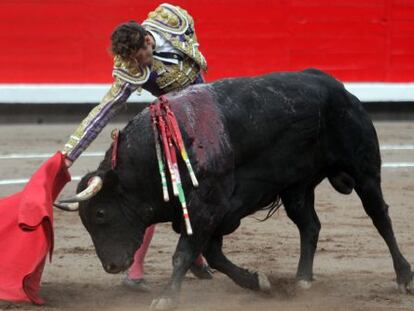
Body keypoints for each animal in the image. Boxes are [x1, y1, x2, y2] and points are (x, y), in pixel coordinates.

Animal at [55, 69, 414, 310]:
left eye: (101, 214)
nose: (111, 266)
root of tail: (339, 88)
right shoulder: (211, 214)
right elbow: (214, 256)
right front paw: (259, 283)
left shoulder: (207, 207)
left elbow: (184, 254)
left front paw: (167, 297)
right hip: (295, 187)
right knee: (310, 225)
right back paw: (302, 279)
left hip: (364, 171)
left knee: (380, 217)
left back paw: (404, 277)